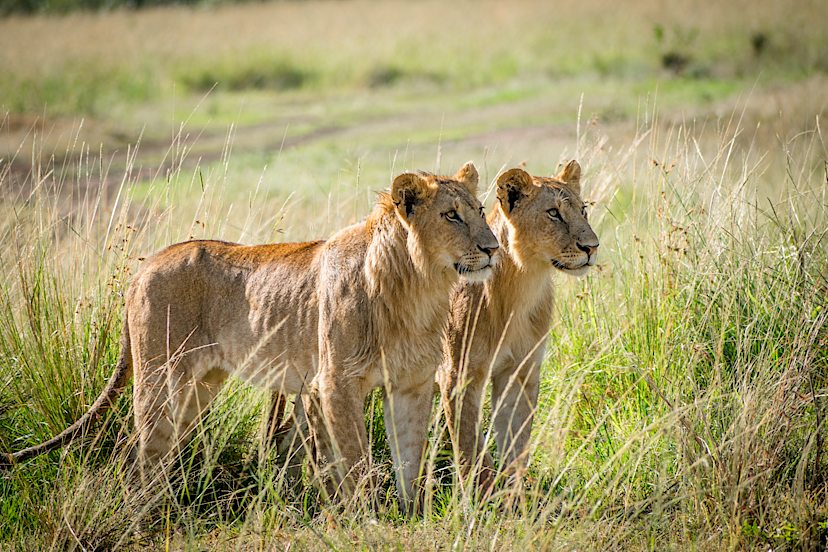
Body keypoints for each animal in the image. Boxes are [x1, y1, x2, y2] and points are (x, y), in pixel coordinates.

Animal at [3, 162, 499, 511]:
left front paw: (410, 516)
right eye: (451, 216)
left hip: (198, 387)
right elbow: (355, 462)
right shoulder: (335, 382)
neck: (418, 286)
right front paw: (370, 519)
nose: (494, 247)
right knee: (136, 451)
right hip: (161, 379)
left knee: (149, 452)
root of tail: (145, 266)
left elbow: (410, 459)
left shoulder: (411, 384)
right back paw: (143, 518)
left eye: (480, 211)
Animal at [437, 161, 598, 492]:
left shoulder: (521, 371)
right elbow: (471, 447)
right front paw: (482, 496)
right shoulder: (458, 375)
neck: (523, 286)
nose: (592, 247)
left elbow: (517, 443)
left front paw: (515, 494)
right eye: (553, 213)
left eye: (583, 210)